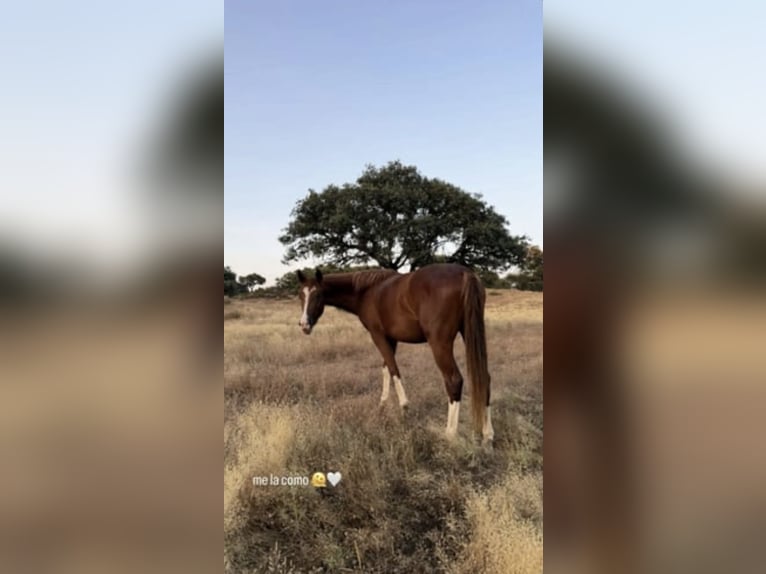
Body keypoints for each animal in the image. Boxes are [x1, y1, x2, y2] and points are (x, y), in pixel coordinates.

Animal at [296, 263, 494, 445]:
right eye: (301, 295)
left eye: (318, 295)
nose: (304, 325)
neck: (367, 291)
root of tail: (464, 273)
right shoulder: (392, 339)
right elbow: (386, 368)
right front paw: (382, 403)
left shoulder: (378, 336)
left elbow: (393, 368)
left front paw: (404, 406)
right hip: (469, 333)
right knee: (484, 378)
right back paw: (488, 435)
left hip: (440, 343)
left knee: (454, 380)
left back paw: (450, 433)